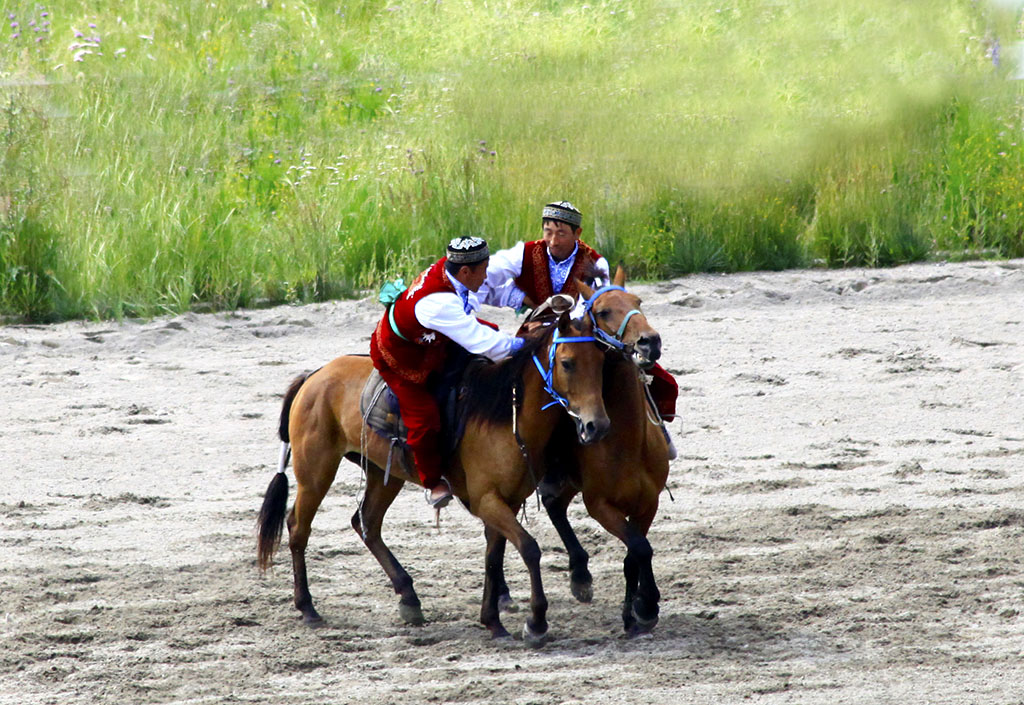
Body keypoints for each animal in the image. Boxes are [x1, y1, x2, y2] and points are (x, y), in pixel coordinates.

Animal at [256, 309, 606, 643]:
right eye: (567, 363)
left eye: (601, 361)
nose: (596, 425)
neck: (506, 415)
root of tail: (313, 376)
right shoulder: (487, 500)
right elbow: (530, 549)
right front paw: (535, 622)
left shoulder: (504, 501)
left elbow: (494, 557)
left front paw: (493, 621)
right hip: (316, 472)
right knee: (298, 528)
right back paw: (307, 607)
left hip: (384, 473)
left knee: (367, 522)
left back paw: (409, 597)